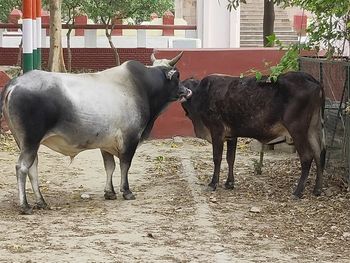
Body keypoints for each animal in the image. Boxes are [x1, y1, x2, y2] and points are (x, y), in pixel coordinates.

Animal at [182, 71, 326, 199]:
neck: (201, 95)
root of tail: (310, 78)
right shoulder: (232, 135)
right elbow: (230, 158)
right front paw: (229, 183)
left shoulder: (217, 131)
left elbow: (217, 158)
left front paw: (213, 184)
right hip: (313, 128)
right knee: (318, 154)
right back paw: (317, 189)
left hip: (297, 129)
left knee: (307, 156)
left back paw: (297, 192)